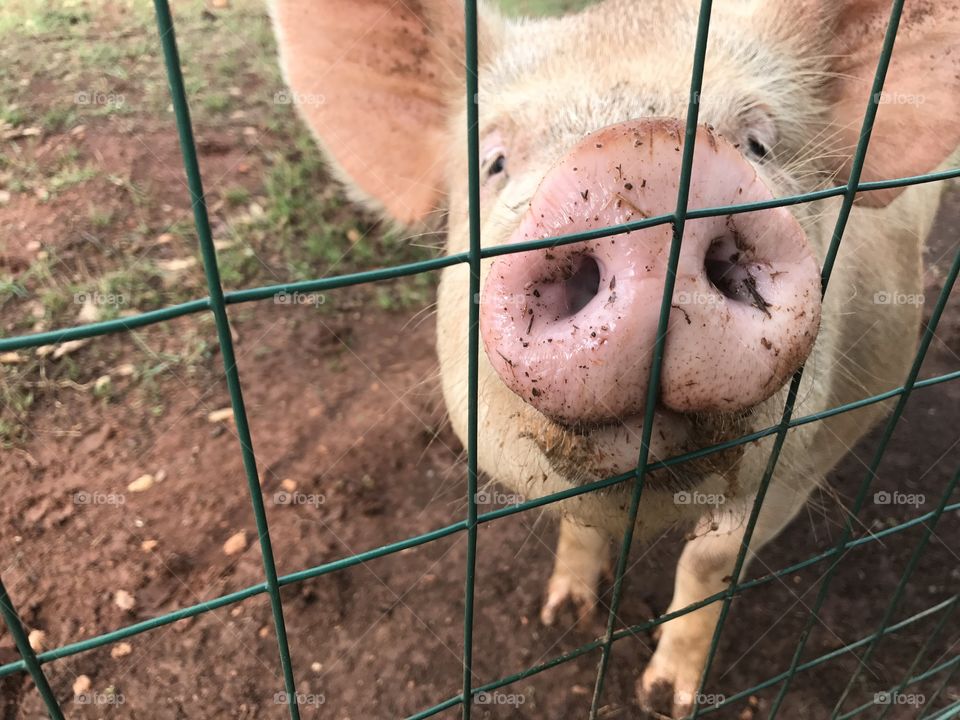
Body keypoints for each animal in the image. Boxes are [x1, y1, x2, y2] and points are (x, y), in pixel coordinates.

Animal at [269, 0, 960, 715]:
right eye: (493, 160)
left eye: (760, 143)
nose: (647, 154)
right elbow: (577, 524)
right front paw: (563, 616)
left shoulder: (825, 441)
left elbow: (710, 562)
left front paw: (664, 698)